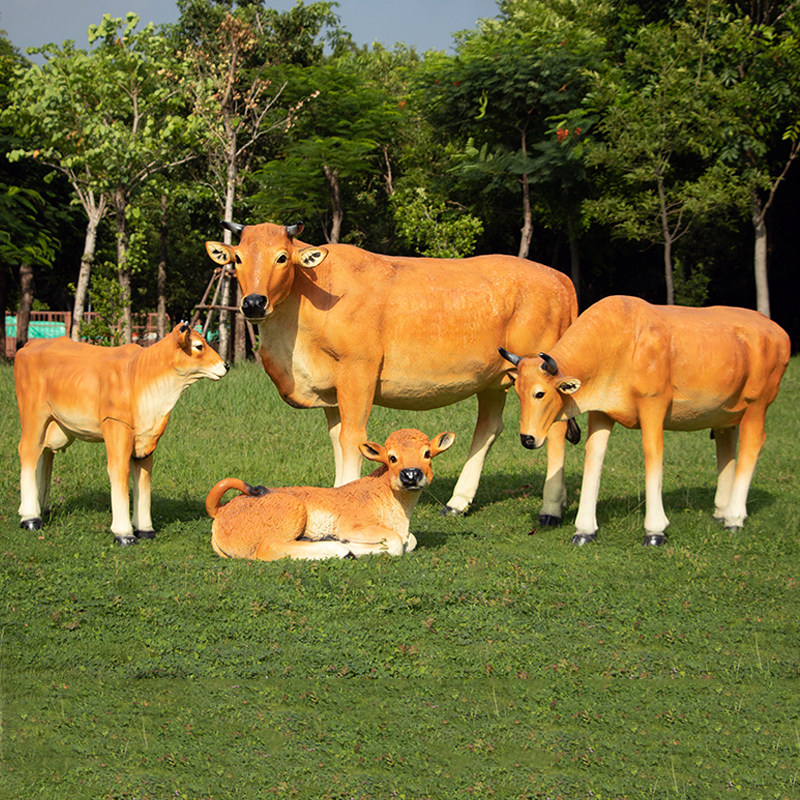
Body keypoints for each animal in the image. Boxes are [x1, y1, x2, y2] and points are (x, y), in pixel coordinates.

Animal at [15, 323, 229, 546]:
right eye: (198, 346)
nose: (226, 365)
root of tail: (31, 344)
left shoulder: (146, 442)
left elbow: (143, 479)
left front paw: (145, 529)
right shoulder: (117, 427)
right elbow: (119, 471)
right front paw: (124, 533)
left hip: (53, 423)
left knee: (44, 454)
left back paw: (41, 508)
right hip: (33, 415)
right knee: (28, 451)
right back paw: (30, 517)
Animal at [205, 220, 579, 525]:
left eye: (282, 257)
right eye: (238, 259)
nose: (254, 302)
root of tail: (559, 277)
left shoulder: (359, 370)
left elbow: (352, 437)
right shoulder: (332, 390)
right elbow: (337, 438)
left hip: (540, 376)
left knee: (554, 428)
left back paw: (550, 509)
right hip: (492, 378)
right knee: (488, 428)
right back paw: (458, 502)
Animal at [206, 428, 455, 561]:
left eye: (427, 454)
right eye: (392, 457)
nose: (411, 474)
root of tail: (222, 509)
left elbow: (410, 540)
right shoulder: (352, 526)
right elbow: (395, 542)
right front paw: (351, 547)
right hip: (291, 512)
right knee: (269, 548)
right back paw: (337, 548)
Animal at [499, 295, 790, 546]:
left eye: (540, 393)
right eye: (518, 393)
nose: (527, 438)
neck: (622, 342)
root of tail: (778, 331)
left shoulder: (653, 406)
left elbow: (652, 453)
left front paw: (655, 531)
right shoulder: (601, 410)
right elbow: (594, 457)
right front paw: (584, 530)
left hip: (756, 405)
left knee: (752, 444)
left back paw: (734, 518)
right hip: (726, 410)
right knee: (726, 444)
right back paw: (721, 511)